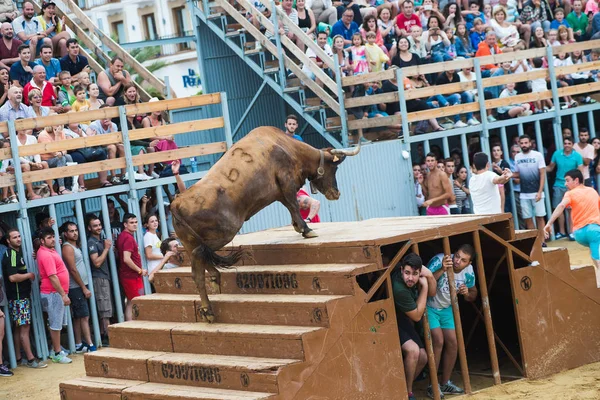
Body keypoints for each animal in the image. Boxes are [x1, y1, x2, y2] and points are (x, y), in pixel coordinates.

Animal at [170, 126, 360, 320]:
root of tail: (177, 202)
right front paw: (306, 229)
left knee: (200, 260)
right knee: (199, 261)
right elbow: (293, 204)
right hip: (225, 233)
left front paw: (298, 226)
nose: (336, 193)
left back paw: (214, 283)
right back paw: (208, 308)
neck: (285, 144)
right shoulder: (286, 181)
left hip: (189, 243)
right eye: (334, 168)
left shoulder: (279, 191)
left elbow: (290, 206)